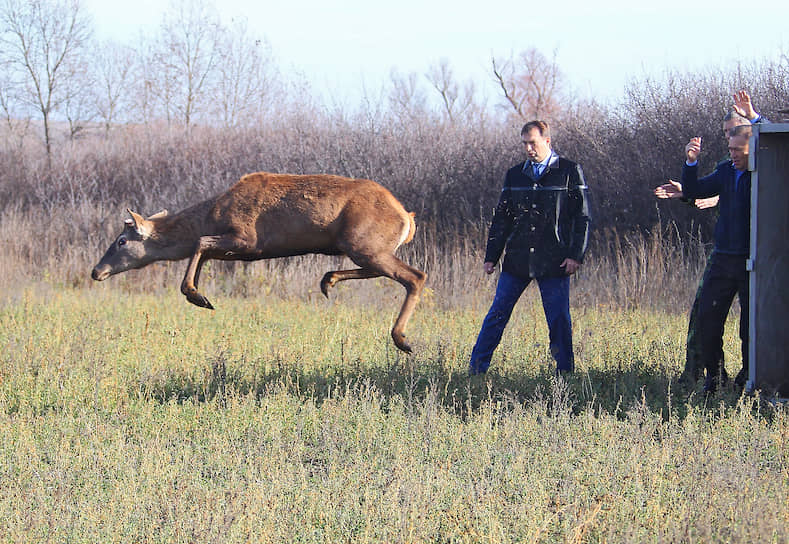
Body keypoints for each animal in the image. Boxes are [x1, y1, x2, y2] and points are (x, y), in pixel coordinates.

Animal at [92, 172, 428, 354]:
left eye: (121, 241)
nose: (97, 271)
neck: (212, 213)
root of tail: (406, 218)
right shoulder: (241, 249)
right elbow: (203, 251)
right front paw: (199, 293)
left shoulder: (248, 239)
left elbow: (200, 243)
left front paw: (197, 295)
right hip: (362, 247)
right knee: (381, 272)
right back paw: (328, 280)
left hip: (365, 244)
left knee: (415, 276)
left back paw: (402, 339)